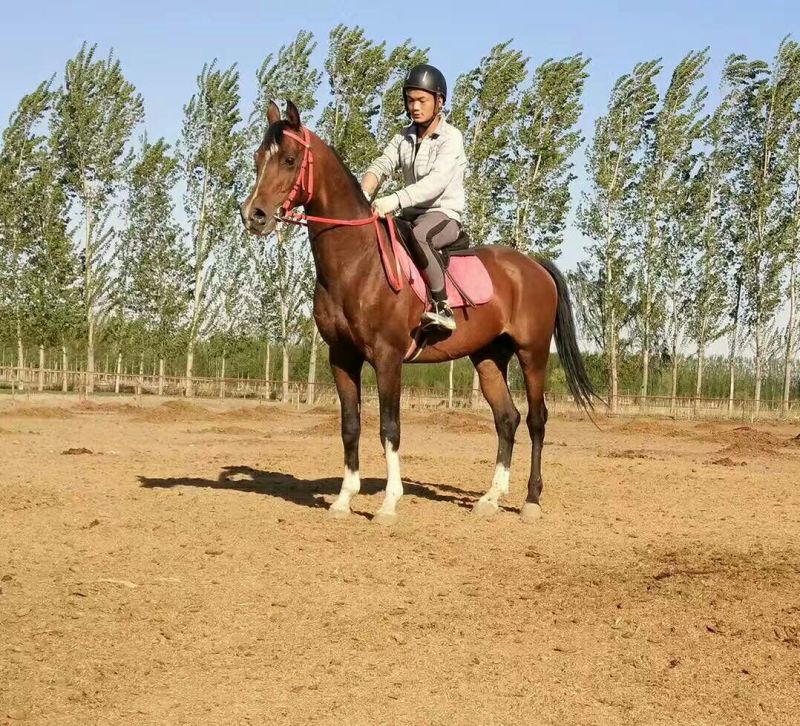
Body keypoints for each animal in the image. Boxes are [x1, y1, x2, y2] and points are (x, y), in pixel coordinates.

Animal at [240, 100, 596, 524]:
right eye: (258, 158)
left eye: (290, 160)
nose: (254, 215)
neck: (357, 261)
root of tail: (533, 266)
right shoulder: (341, 357)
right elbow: (350, 426)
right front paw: (343, 500)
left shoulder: (387, 357)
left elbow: (389, 428)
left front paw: (389, 504)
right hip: (489, 357)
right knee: (506, 419)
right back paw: (490, 499)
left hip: (533, 354)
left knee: (536, 420)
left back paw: (531, 501)